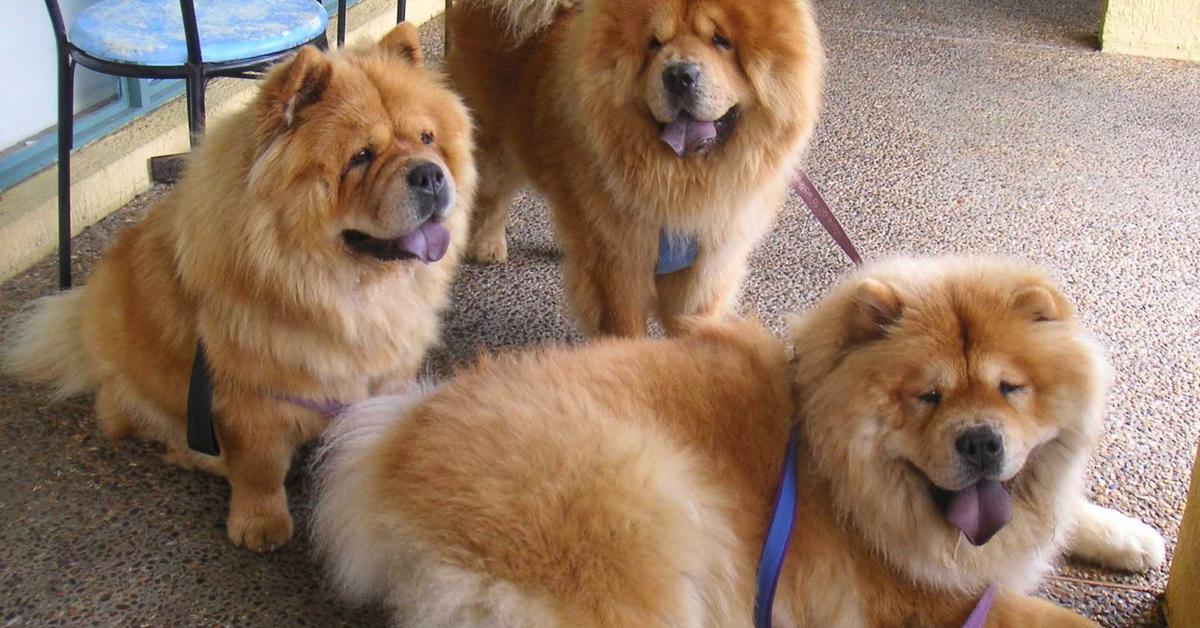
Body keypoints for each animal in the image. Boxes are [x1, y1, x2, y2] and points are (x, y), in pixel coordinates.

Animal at [448, 0, 825, 336]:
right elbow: (624, 325)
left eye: (721, 40)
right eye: (653, 43)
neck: (679, 183)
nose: (679, 75)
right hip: (495, 144)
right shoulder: (617, 264)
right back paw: (488, 245)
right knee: (494, 196)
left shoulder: (706, 265)